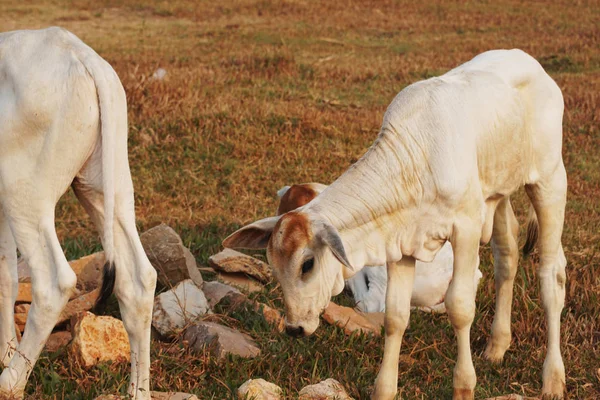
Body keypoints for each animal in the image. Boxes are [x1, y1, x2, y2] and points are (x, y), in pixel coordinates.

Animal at [0, 28, 157, 400]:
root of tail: (79, 55)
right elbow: (6, 277)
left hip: (24, 196)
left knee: (53, 283)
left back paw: (9, 383)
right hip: (105, 189)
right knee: (139, 279)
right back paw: (138, 391)